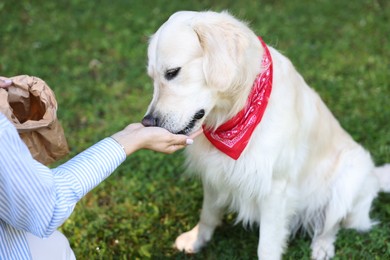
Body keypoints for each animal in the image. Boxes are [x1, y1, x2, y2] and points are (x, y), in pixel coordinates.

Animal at [142, 10, 388, 260]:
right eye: (152, 77)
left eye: (172, 73)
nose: (147, 122)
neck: (238, 109)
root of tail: (374, 176)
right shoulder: (214, 173)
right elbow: (208, 215)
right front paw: (196, 239)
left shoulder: (275, 188)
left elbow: (267, 246)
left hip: (349, 175)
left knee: (331, 224)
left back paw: (322, 247)